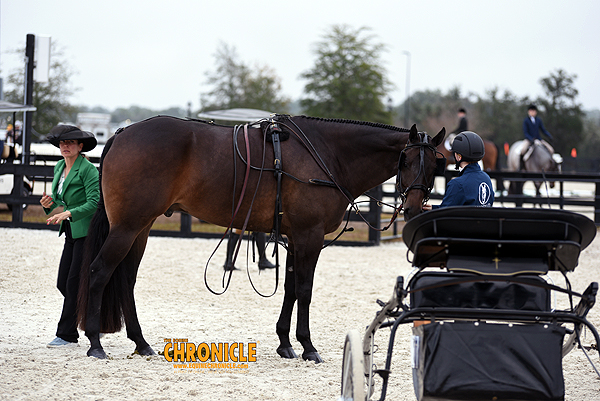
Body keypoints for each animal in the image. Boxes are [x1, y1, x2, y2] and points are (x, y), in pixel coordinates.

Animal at [76, 114, 446, 362]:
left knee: (125, 279)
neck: (328, 154)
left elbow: (291, 289)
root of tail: (123, 133)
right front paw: (308, 346)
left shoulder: (296, 238)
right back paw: (95, 342)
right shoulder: (309, 236)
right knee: (98, 272)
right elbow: (305, 290)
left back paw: (141, 343)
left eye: (434, 166)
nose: (414, 207)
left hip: (140, 228)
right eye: (406, 160)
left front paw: (286, 343)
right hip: (127, 227)